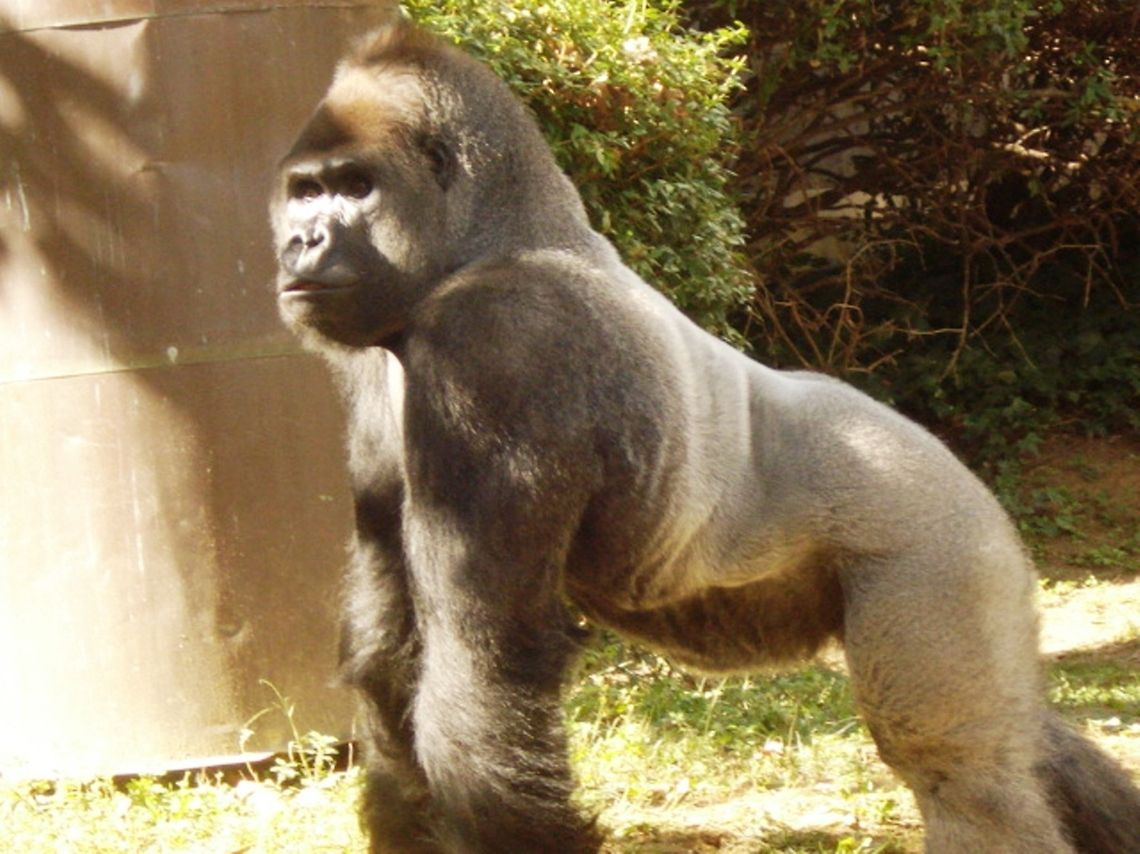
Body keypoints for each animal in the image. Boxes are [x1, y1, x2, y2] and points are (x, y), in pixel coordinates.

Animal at [270, 19, 1140, 854]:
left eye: (355, 187)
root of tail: (960, 473)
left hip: (937, 543)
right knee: (1022, 742)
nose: (301, 242)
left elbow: (482, 669)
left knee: (962, 768)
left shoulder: (501, 342)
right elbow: (388, 658)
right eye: (305, 192)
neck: (491, 239)